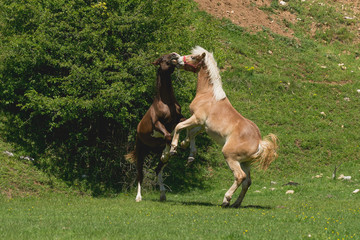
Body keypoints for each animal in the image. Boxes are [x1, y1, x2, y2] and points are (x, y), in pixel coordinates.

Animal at [125, 52, 184, 202]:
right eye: (162, 58)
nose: (175, 55)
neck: (166, 102)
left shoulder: (179, 118)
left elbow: (178, 128)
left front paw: (173, 148)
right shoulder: (157, 124)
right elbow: (167, 135)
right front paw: (171, 149)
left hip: (153, 152)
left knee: (158, 169)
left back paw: (162, 194)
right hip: (141, 152)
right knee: (140, 175)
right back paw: (138, 197)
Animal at [171, 47, 278, 208]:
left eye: (193, 57)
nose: (177, 58)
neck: (208, 95)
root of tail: (259, 142)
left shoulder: (197, 118)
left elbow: (179, 126)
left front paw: (174, 148)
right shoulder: (203, 125)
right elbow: (191, 133)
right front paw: (189, 153)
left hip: (230, 156)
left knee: (240, 177)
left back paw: (226, 200)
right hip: (245, 163)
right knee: (247, 182)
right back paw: (236, 204)